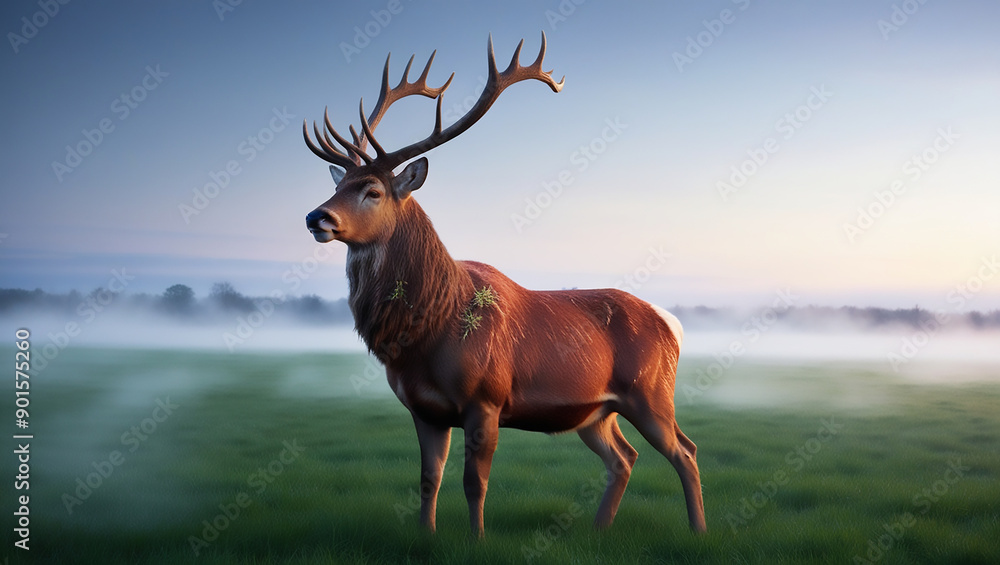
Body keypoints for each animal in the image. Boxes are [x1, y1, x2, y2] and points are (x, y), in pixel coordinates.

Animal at [302, 32, 705, 537]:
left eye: (372, 190)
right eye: (338, 186)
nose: (316, 216)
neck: (430, 331)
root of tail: (671, 323)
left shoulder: (486, 398)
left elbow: (474, 482)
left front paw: (476, 540)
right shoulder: (423, 409)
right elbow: (429, 479)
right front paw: (426, 537)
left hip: (651, 392)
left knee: (685, 451)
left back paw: (698, 531)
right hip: (596, 411)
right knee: (624, 457)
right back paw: (599, 530)